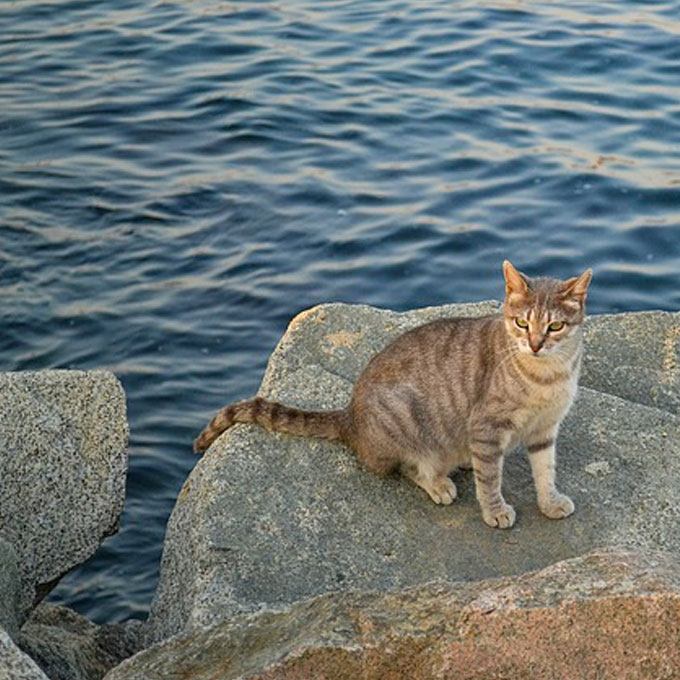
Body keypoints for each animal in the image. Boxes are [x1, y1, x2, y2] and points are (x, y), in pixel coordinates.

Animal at [194, 262, 592, 532]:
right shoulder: (487, 426)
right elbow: (491, 478)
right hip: (410, 424)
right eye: (522, 323)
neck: (546, 375)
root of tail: (350, 417)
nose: (536, 344)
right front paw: (495, 510)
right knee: (409, 466)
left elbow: (545, 470)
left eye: (555, 326)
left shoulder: (545, 430)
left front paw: (550, 501)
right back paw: (438, 481)